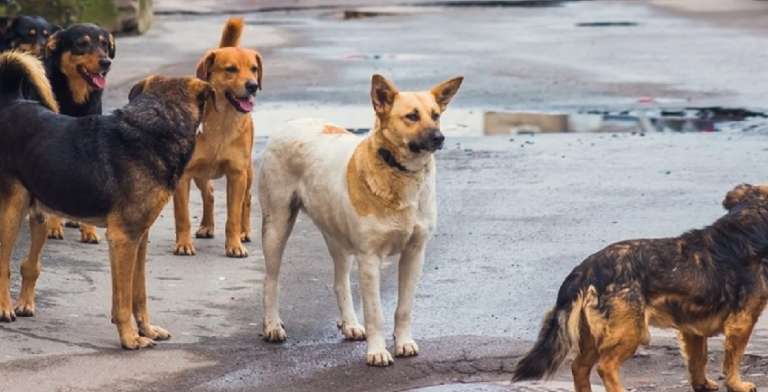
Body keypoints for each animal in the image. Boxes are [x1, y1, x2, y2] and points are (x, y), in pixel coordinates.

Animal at [0, 50, 214, 348]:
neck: (157, 125)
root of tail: (10, 101)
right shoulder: (123, 239)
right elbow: (122, 300)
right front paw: (130, 338)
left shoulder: (139, 238)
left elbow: (139, 293)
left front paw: (146, 330)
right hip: (12, 209)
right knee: (2, 263)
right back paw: (5, 308)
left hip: (38, 210)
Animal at [43, 23, 116, 243]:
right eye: (82, 44)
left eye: (104, 44)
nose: (106, 62)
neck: (76, 99)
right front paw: (53, 227)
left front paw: (89, 230)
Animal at [172, 17, 262, 258]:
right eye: (230, 69)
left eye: (254, 69)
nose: (252, 86)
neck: (221, 122)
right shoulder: (183, 176)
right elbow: (182, 216)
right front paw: (183, 243)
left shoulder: (237, 174)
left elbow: (233, 216)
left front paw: (234, 244)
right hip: (200, 174)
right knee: (209, 194)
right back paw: (207, 226)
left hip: (248, 173)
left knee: (247, 200)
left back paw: (244, 231)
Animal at [258, 74, 462, 368]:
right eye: (412, 116)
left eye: (436, 115)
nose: (439, 137)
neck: (399, 172)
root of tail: (291, 122)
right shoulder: (369, 259)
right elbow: (375, 313)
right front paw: (377, 351)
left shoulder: (415, 253)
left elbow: (404, 308)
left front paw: (403, 342)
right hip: (277, 226)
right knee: (271, 280)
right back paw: (272, 325)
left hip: (337, 238)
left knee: (340, 282)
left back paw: (350, 324)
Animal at [512, 185, 768, 392]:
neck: (746, 227)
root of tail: (585, 269)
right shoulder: (741, 323)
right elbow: (732, 360)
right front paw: (737, 385)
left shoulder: (692, 328)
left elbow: (698, 360)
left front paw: (701, 384)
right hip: (630, 331)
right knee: (605, 366)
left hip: (593, 335)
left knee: (579, 367)